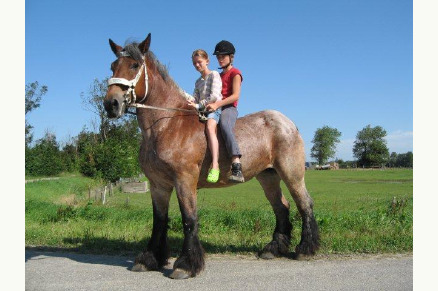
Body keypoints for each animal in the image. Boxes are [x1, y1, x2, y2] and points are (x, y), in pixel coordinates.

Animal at [104, 33, 320, 280]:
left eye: (134, 65)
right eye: (113, 66)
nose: (111, 104)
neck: (167, 124)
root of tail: (289, 123)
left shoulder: (184, 180)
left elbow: (189, 219)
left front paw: (185, 265)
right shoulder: (158, 185)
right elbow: (159, 221)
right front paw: (149, 259)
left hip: (292, 173)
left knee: (305, 204)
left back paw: (305, 249)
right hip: (268, 176)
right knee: (282, 207)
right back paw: (273, 249)